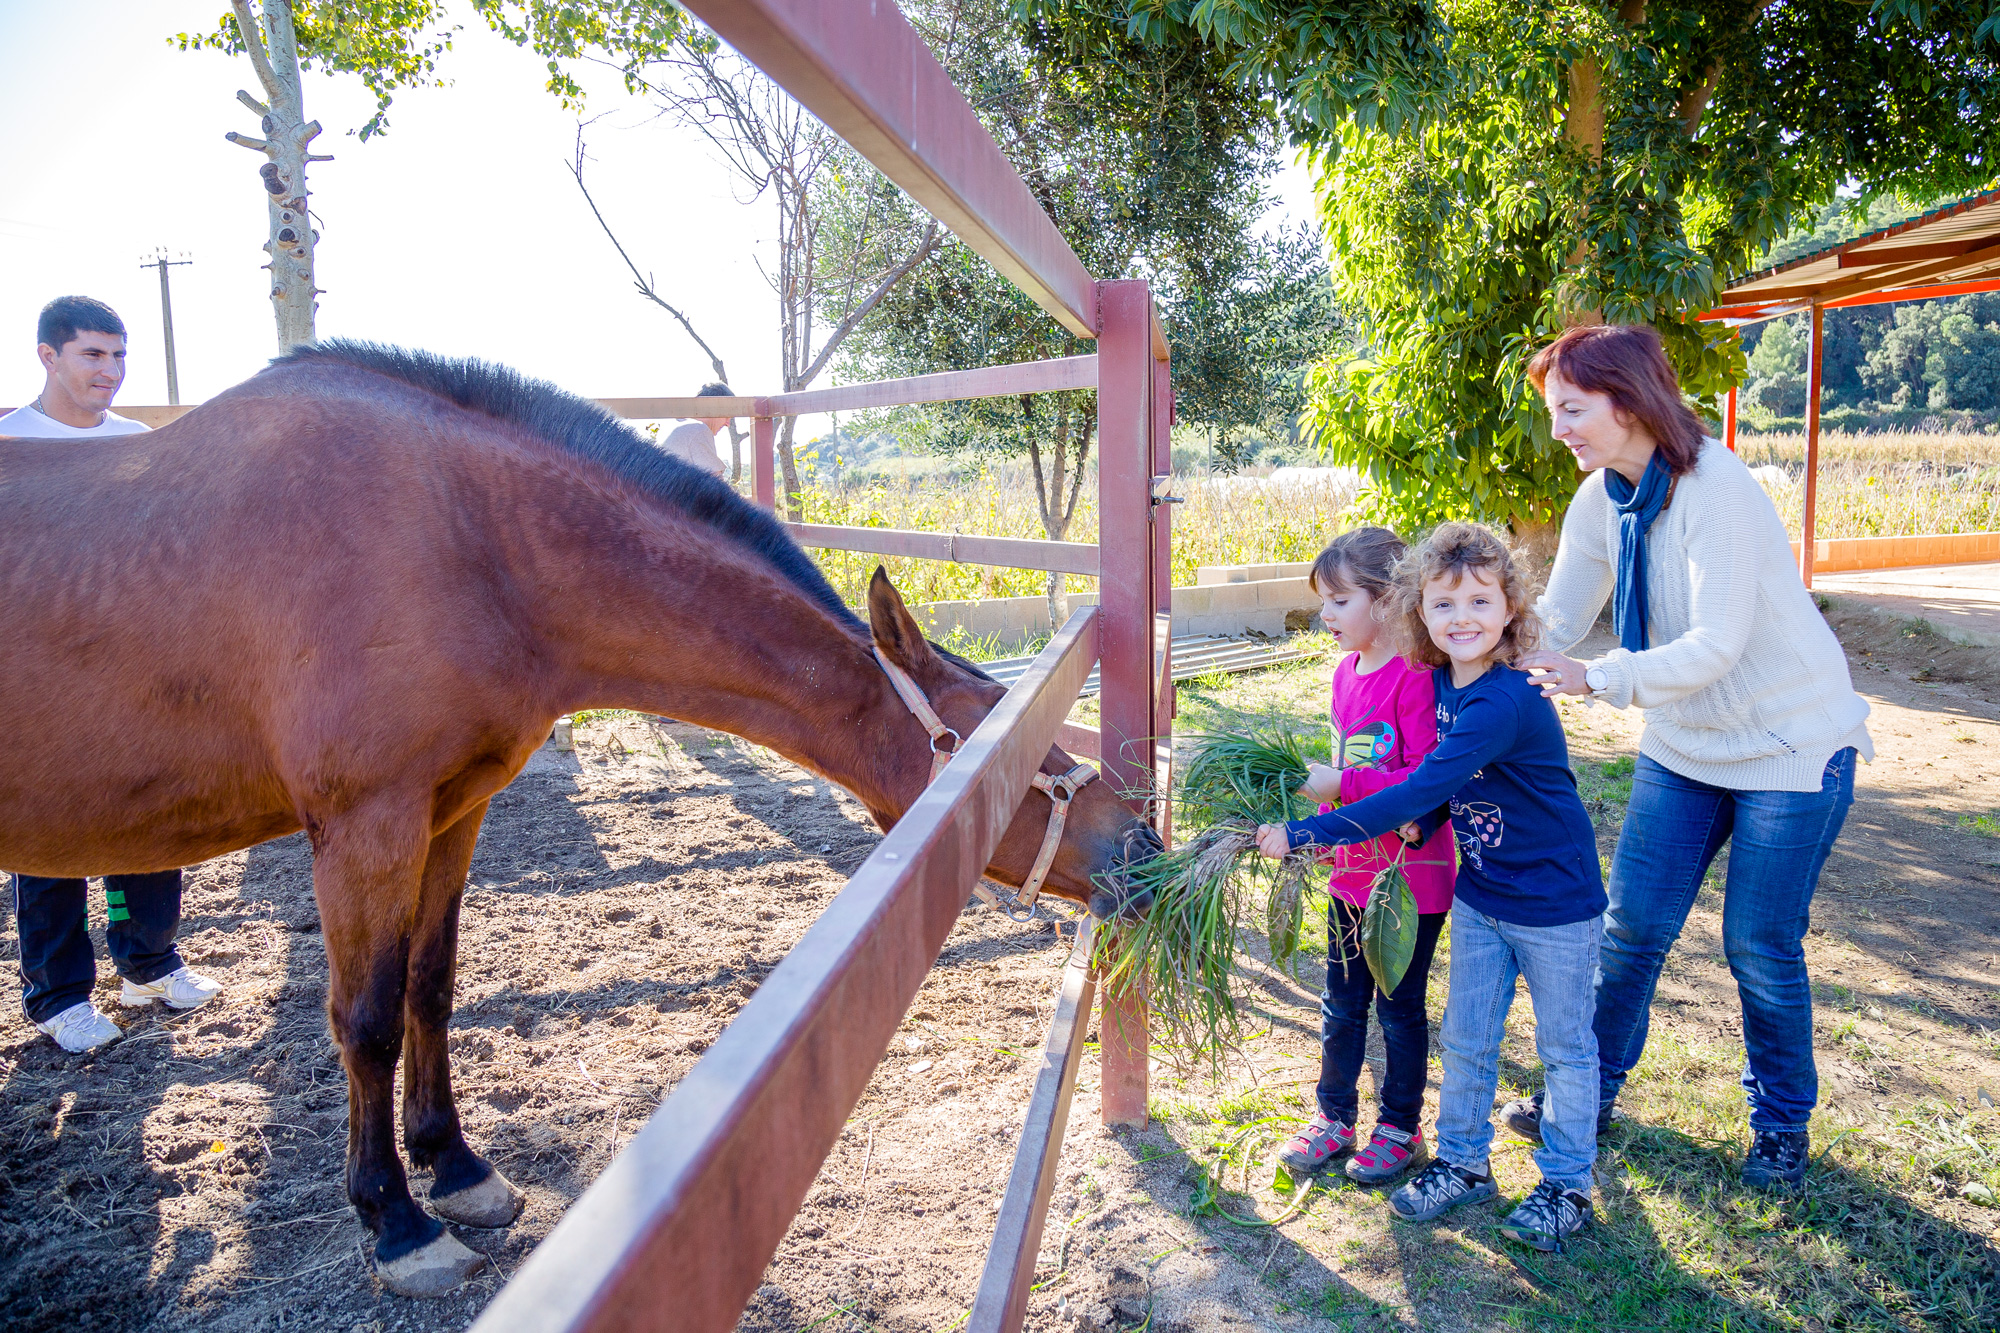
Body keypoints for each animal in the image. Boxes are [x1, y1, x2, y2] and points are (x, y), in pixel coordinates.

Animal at [0, 340, 1160, 1288]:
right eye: (1017, 739)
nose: (1142, 845)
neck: (459, 537)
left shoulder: (452, 810)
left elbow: (430, 987)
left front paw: (456, 1167)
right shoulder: (365, 823)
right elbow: (364, 1018)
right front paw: (397, 1221)